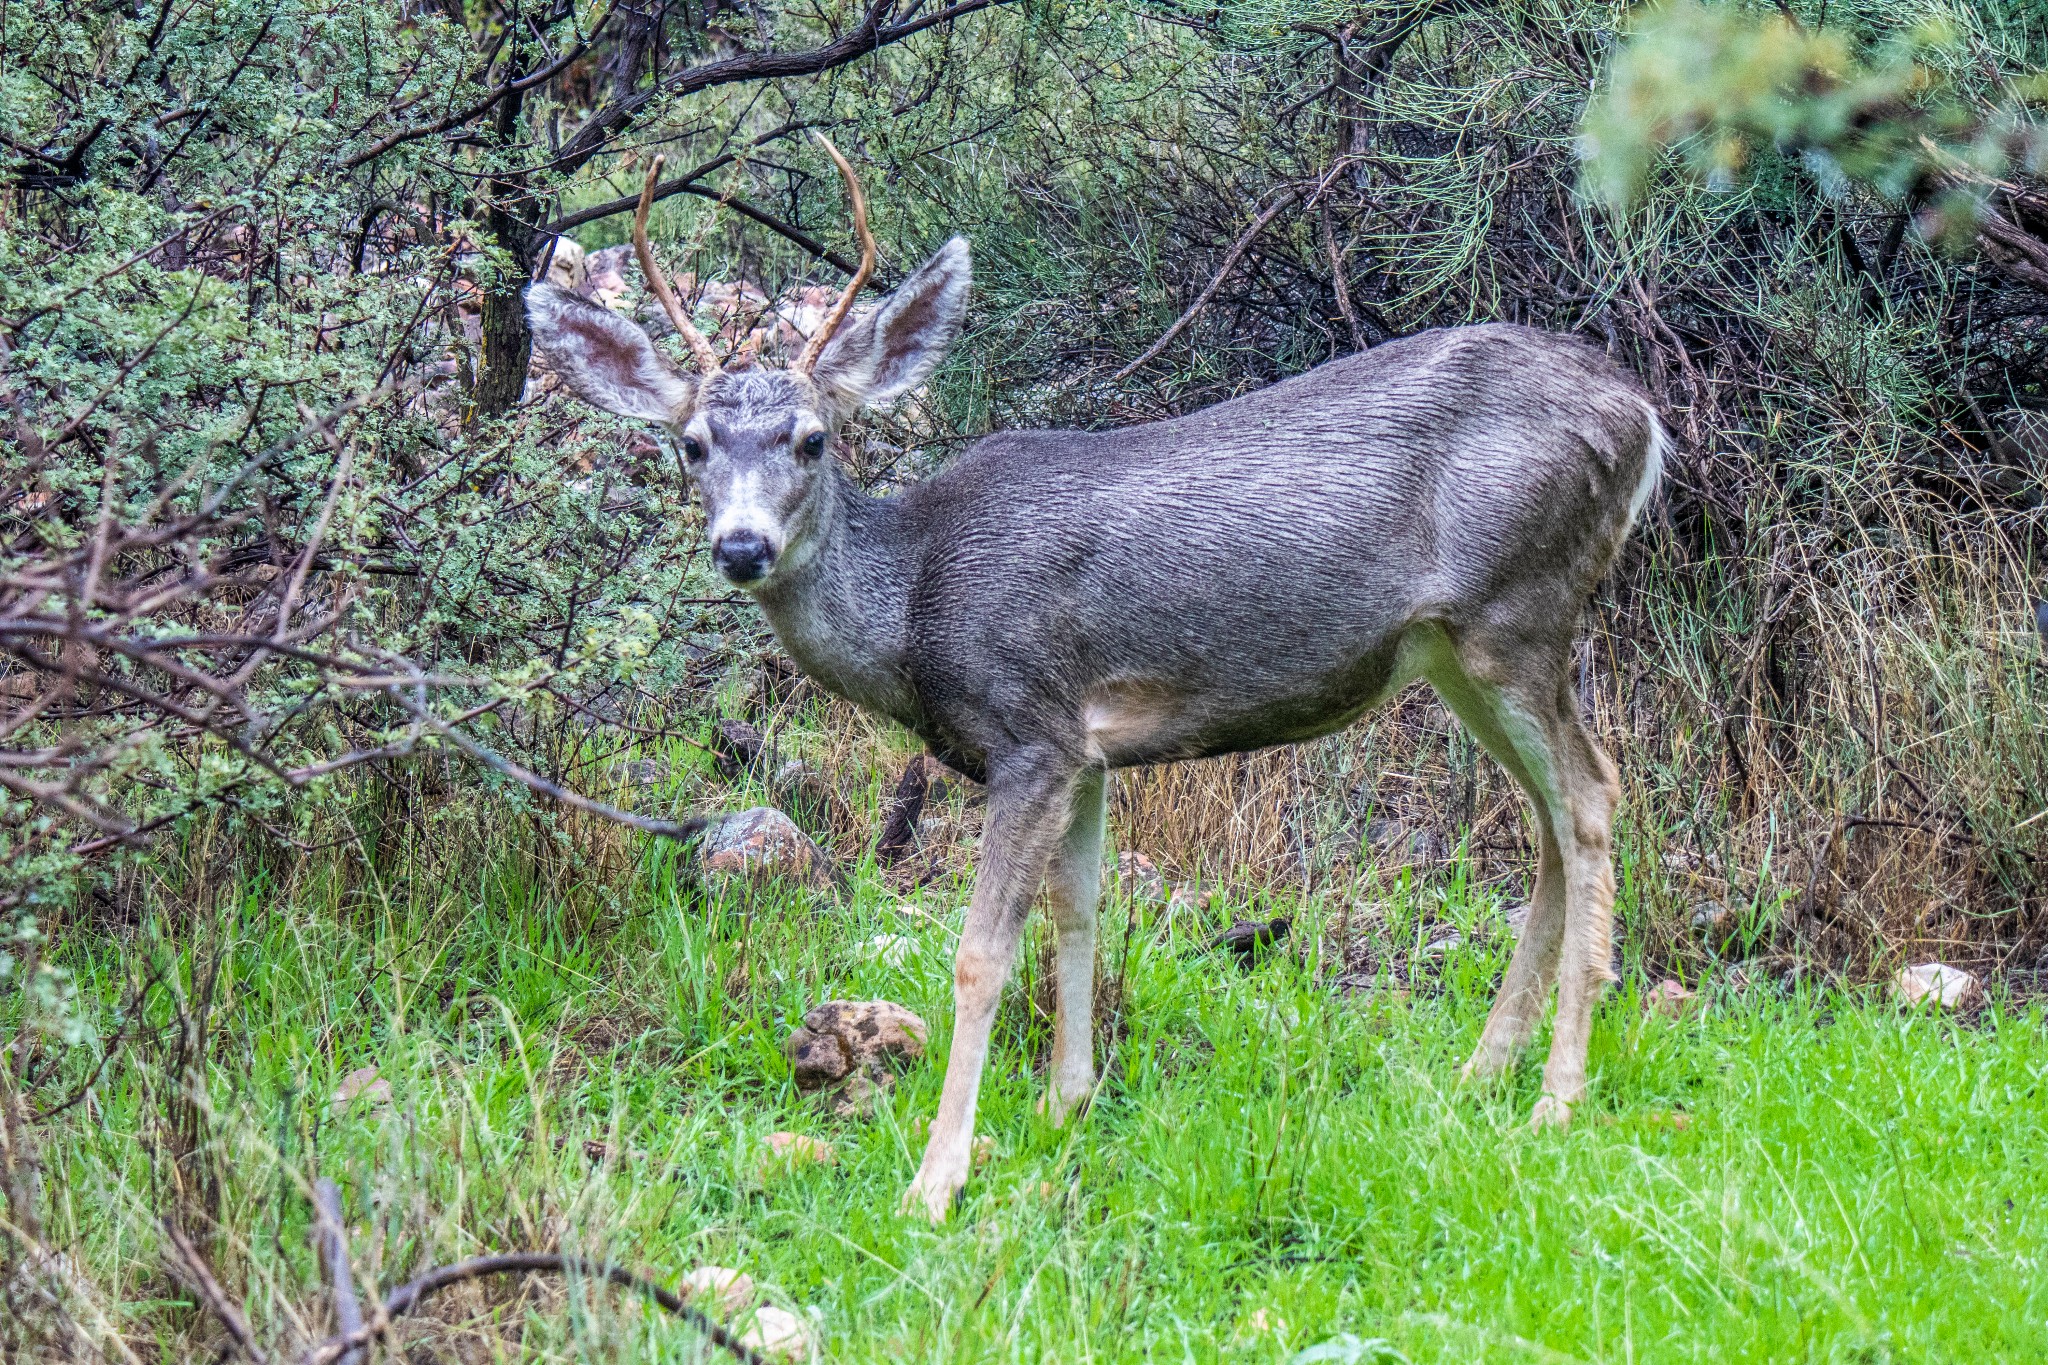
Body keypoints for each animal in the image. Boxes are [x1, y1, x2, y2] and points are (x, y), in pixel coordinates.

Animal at [524, 141, 1662, 1219]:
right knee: (1548, 817)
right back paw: (1481, 1072)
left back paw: (1558, 1095)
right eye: (691, 444)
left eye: (810, 438)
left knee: (1592, 795)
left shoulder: (1027, 728)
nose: (742, 546)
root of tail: (1642, 416)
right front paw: (1064, 1103)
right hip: (1456, 646)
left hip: (1520, 607)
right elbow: (1076, 911)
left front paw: (936, 1180)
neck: (915, 601)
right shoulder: (1084, 749)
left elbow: (982, 952)